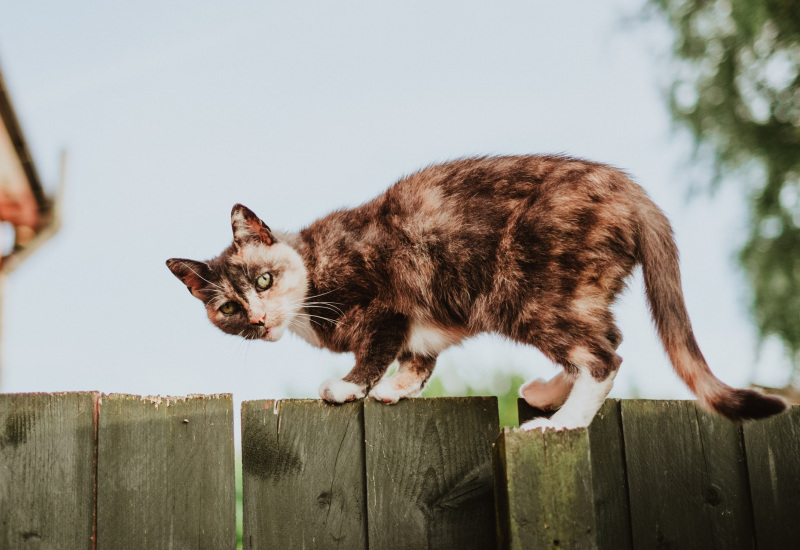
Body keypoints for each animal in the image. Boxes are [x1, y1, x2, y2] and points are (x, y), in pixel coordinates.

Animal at [166, 155, 784, 432]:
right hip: (570, 294)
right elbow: (418, 360)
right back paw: (547, 393)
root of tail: (628, 187)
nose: (258, 317)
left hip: (527, 295)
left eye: (263, 280)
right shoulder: (420, 329)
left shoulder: (387, 305)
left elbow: (376, 350)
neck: (314, 269)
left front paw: (349, 387)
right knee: (606, 336)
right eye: (228, 308)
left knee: (604, 355)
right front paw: (397, 390)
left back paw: (564, 422)